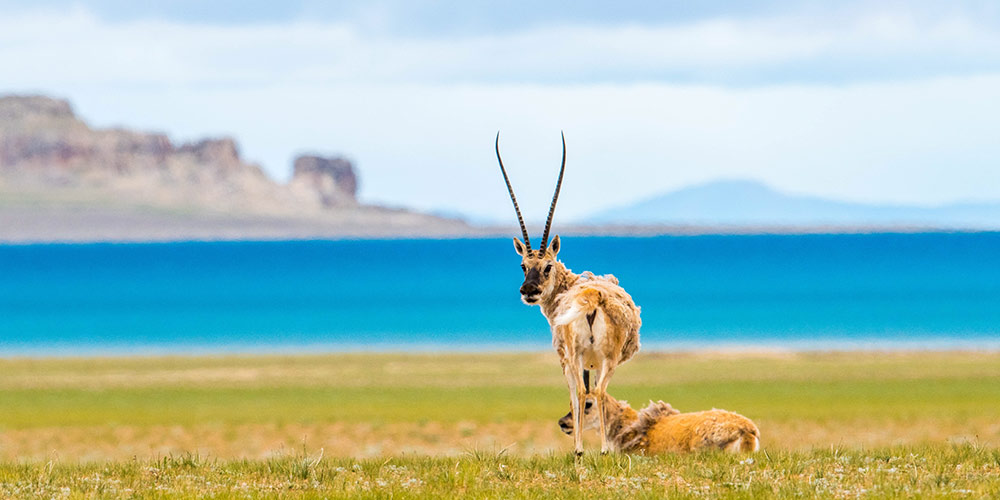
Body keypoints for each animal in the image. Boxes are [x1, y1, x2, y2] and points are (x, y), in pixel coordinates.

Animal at [498, 131, 644, 456]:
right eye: (523, 265)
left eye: (547, 266)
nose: (529, 291)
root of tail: (593, 297)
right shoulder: (586, 361)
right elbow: (587, 394)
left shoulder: (567, 359)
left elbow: (579, 395)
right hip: (598, 358)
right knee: (595, 390)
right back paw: (596, 449)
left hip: (582, 357)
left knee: (585, 390)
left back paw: (586, 449)